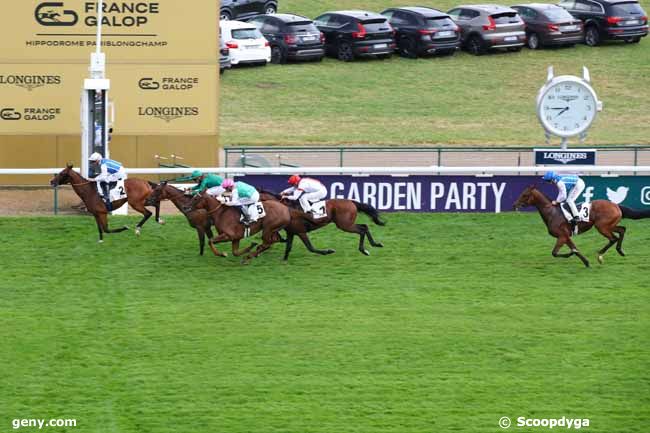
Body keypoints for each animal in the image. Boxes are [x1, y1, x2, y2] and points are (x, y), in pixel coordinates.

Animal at [512, 184, 648, 264]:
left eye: (525, 195)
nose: (514, 205)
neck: (552, 213)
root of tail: (616, 205)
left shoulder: (562, 236)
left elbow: (555, 253)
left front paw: (570, 254)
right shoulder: (566, 236)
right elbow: (574, 248)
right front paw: (586, 262)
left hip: (602, 226)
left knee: (613, 238)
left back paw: (600, 255)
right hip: (609, 225)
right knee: (622, 230)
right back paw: (620, 251)